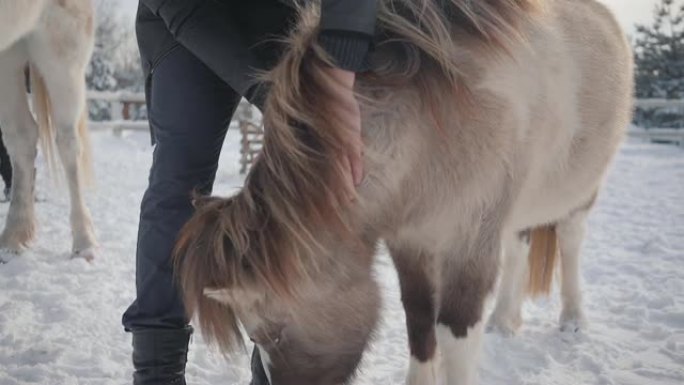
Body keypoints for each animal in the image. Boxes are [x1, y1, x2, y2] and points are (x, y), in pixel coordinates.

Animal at [0, 0, 97, 260]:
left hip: (61, 45)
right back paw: (14, 236)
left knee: (68, 144)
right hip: (8, 53)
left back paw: (84, 242)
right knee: (21, 136)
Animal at [175, 0, 632, 384]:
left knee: (570, 239)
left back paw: (572, 318)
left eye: (268, 335)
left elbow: (455, 332)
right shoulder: (410, 239)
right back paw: (505, 320)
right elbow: (419, 318)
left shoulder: (468, 240)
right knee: (519, 246)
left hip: (580, 191)